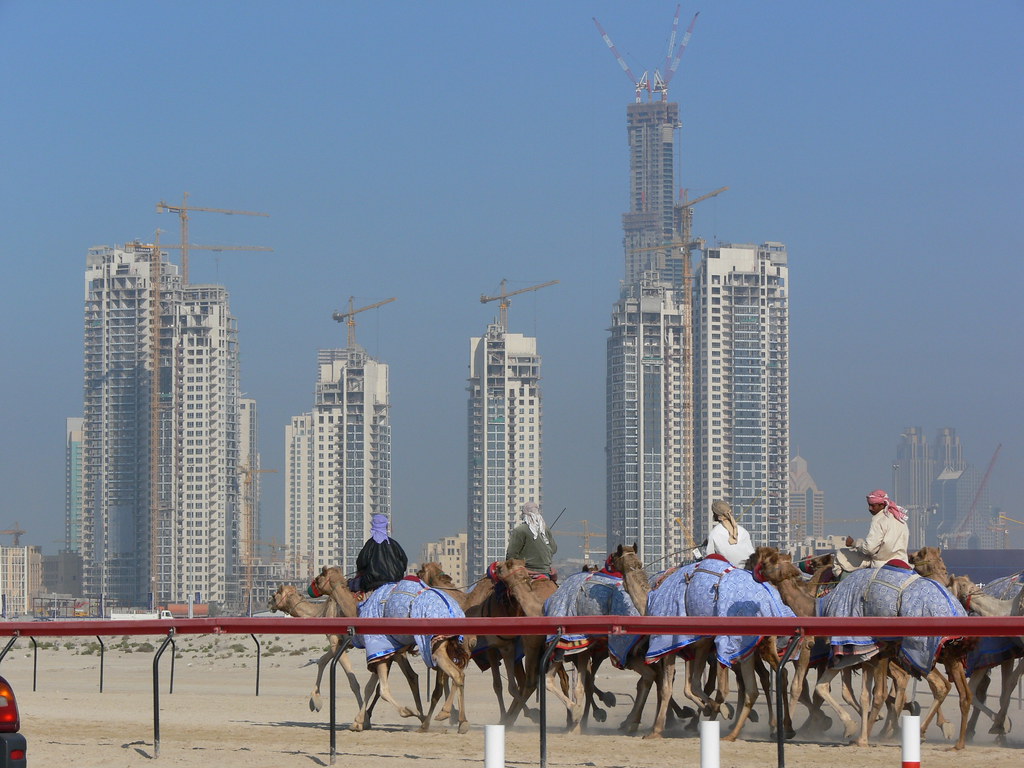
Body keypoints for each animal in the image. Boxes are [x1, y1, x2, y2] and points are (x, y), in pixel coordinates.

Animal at [311, 565, 475, 733]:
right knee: (451, 678)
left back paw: (441, 716)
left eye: (319, 577)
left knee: (455, 675)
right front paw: (359, 721)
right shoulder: (388, 652)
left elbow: (380, 689)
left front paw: (407, 712)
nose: (311, 588)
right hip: (446, 646)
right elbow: (374, 686)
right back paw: (454, 721)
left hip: (435, 648)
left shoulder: (379, 648)